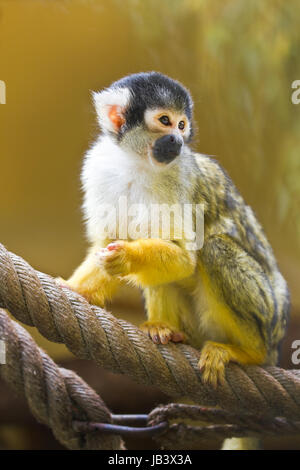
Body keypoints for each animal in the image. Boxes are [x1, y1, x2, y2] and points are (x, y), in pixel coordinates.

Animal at [62, 72, 290, 390]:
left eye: (182, 125)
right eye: (165, 121)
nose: (178, 139)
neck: (138, 161)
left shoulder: (179, 176)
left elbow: (184, 258)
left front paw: (126, 257)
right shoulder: (99, 169)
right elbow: (104, 244)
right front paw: (76, 289)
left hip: (266, 316)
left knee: (214, 248)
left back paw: (246, 352)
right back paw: (164, 328)